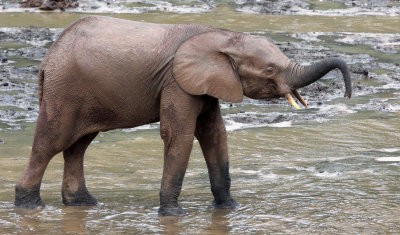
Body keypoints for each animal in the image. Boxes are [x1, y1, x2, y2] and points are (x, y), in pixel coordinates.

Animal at [14, 15, 352, 216]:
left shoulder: (205, 83)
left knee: (78, 146)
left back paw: (84, 204)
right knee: (51, 141)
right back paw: (30, 207)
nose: (348, 93)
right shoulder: (177, 82)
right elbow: (179, 135)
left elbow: (215, 134)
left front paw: (231, 210)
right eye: (269, 70)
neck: (222, 37)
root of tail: (48, 58)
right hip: (64, 90)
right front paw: (173, 216)